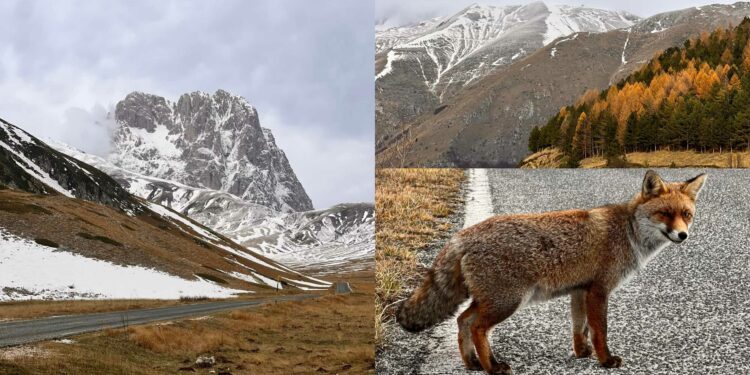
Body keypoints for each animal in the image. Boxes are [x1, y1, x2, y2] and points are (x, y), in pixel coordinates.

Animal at [400, 172, 712, 374]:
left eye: (686, 215)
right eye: (665, 214)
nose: (683, 235)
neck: (627, 231)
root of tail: (461, 236)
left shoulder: (580, 290)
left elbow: (580, 328)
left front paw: (581, 354)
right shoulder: (599, 290)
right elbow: (600, 331)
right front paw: (605, 360)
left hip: (491, 300)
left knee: (462, 321)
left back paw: (472, 363)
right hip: (507, 302)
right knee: (476, 327)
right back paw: (492, 367)